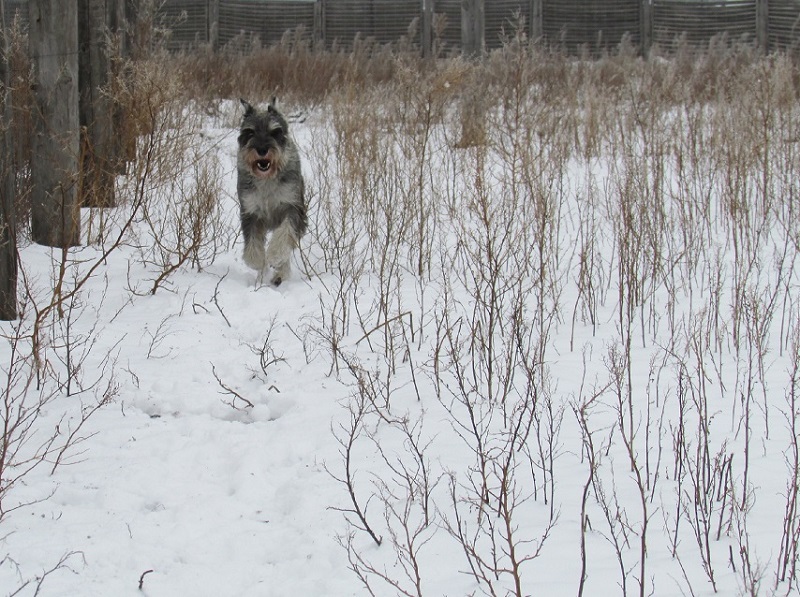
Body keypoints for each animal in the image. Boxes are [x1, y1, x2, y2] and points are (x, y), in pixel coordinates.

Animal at [237, 98, 307, 286]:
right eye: (250, 132)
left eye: (275, 132)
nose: (262, 150)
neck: (267, 178)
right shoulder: (250, 212)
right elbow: (253, 244)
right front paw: (258, 262)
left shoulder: (292, 207)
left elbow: (284, 235)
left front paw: (275, 257)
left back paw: (280, 274)